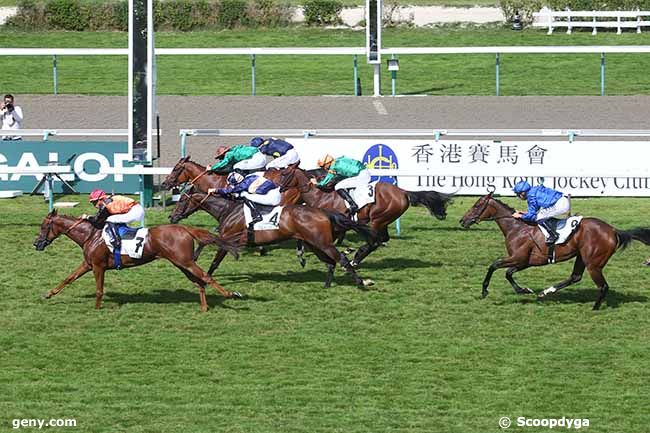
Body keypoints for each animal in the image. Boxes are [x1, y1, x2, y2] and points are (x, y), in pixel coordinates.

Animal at [33, 209, 242, 310]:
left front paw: (97, 308)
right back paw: (204, 307)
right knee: (199, 281)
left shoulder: (98, 266)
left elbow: (99, 290)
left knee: (206, 277)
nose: (37, 243)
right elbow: (68, 278)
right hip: (181, 263)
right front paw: (48, 294)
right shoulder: (88, 264)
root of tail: (185, 228)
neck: (91, 235)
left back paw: (230, 294)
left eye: (43, 226)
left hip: (185, 262)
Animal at [170, 192, 374, 286]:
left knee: (341, 258)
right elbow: (206, 243)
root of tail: (324, 212)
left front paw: (204, 278)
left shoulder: (229, 239)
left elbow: (214, 261)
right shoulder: (227, 239)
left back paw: (362, 282)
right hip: (314, 243)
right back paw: (326, 285)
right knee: (331, 262)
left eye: (182, 201)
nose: (171, 217)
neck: (229, 210)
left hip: (321, 243)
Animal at [278, 166, 450, 264]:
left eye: (284, 174)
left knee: (375, 240)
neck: (320, 195)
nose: (279, 188)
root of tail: (403, 192)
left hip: (378, 219)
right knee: (382, 239)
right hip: (384, 221)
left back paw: (357, 258)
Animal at [458, 193, 648, 310]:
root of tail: (614, 230)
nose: (462, 221)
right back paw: (546, 291)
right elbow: (508, 273)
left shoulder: (517, 258)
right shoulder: (526, 261)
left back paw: (594, 308)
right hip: (582, 256)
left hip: (593, 263)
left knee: (603, 286)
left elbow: (494, 265)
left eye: (477, 205)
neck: (517, 227)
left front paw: (484, 290)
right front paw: (524, 290)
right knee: (575, 277)